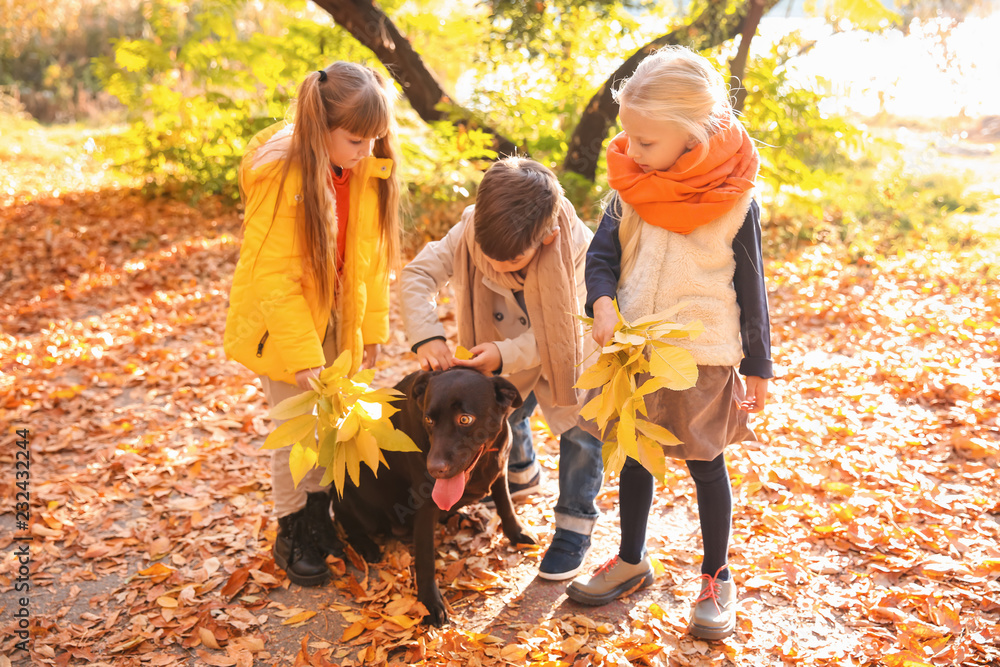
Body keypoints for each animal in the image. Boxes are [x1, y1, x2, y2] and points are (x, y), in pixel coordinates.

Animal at [330, 366, 536, 628]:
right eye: (428, 420)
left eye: (465, 419)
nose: (434, 468)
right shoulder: (426, 505)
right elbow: (426, 557)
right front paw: (429, 603)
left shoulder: (501, 469)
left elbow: (506, 504)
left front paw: (517, 533)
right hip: (355, 496)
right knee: (346, 525)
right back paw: (367, 546)